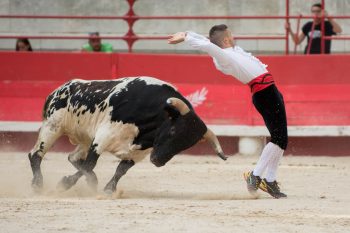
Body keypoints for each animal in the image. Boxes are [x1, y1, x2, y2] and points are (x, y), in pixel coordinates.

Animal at [26, 76, 224, 193]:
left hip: (84, 139)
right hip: (52, 127)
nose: (158, 161)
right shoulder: (103, 137)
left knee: (73, 157)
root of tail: (56, 91)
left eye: (187, 145)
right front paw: (65, 183)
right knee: (36, 154)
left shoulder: (137, 153)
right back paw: (37, 185)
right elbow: (90, 164)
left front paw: (109, 189)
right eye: (174, 130)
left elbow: (120, 170)